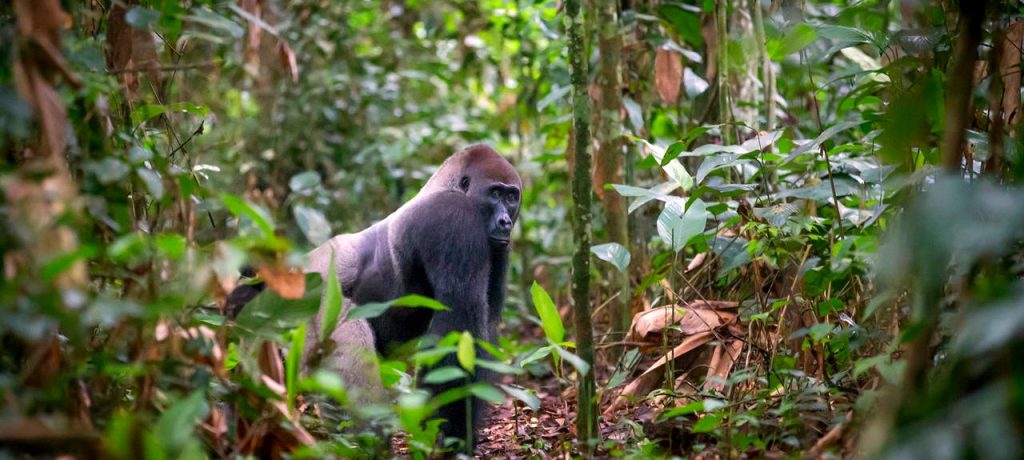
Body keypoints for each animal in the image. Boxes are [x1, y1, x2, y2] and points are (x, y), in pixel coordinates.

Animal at [229, 145, 524, 450]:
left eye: (511, 197)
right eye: (495, 193)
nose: (505, 221)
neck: (448, 186)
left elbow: (482, 329)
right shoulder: (455, 218)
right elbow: (458, 326)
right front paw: (447, 433)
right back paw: (366, 443)